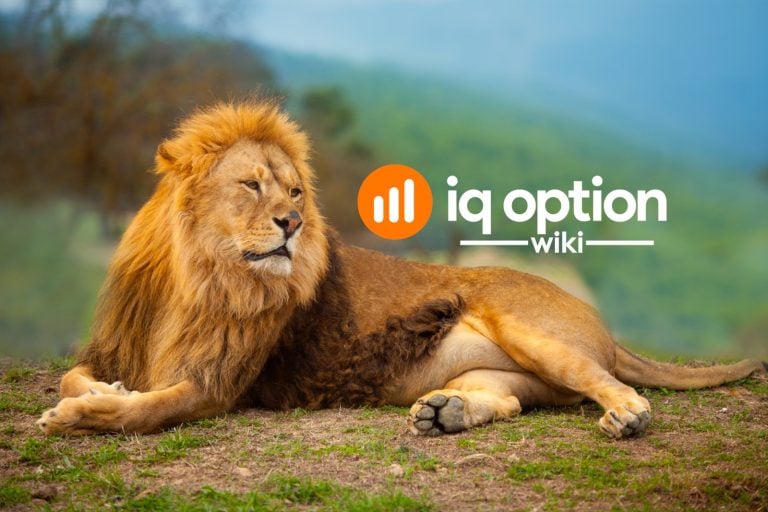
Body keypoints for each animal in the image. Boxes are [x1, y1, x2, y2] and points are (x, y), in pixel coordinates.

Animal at [37, 100, 765, 438]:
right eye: (250, 185)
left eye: (295, 191)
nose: (292, 223)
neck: (199, 274)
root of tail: (604, 325)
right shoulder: (117, 345)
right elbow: (79, 374)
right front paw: (101, 391)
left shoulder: (220, 384)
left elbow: (144, 411)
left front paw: (82, 415)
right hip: (509, 372)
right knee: (509, 397)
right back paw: (445, 414)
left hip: (527, 326)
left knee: (609, 383)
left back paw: (626, 418)